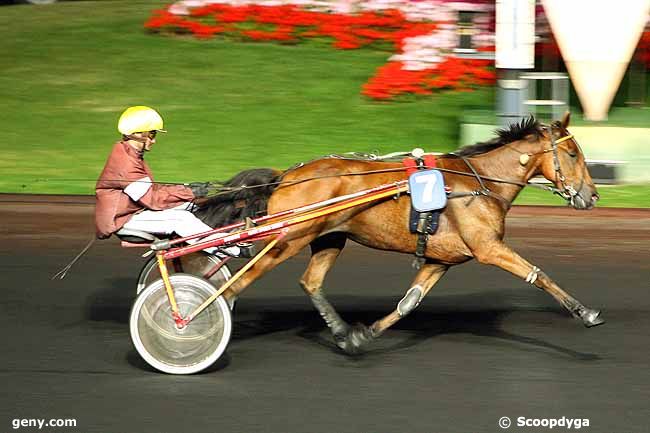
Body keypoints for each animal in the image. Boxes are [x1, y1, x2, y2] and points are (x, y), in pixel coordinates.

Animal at [192, 113, 604, 352]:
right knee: (236, 284)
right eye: (572, 154)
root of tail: (286, 176)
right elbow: (538, 275)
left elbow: (409, 303)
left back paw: (339, 330)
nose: (592, 195)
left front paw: (362, 334)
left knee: (310, 281)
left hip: (329, 237)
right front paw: (585, 312)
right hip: (289, 238)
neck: (480, 183)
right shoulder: (488, 248)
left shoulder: (441, 259)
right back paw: (203, 318)